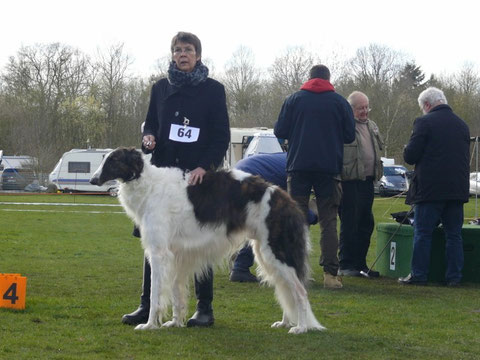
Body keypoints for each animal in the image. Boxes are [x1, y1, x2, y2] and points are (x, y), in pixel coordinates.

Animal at [89, 148, 324, 334]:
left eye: (113, 160)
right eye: (104, 159)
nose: (92, 180)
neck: (150, 185)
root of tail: (287, 200)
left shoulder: (158, 253)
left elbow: (156, 293)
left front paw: (149, 324)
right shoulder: (178, 255)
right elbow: (177, 293)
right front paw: (175, 322)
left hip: (276, 253)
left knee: (300, 292)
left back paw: (301, 327)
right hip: (265, 254)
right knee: (286, 290)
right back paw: (285, 323)